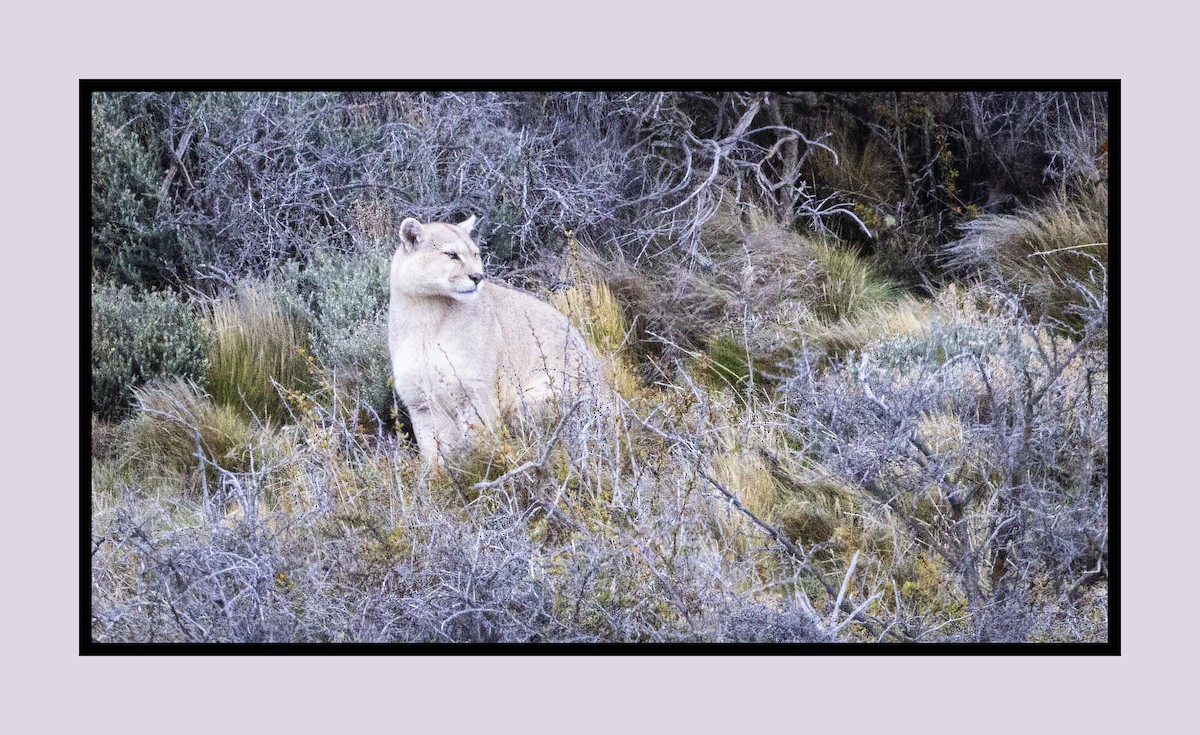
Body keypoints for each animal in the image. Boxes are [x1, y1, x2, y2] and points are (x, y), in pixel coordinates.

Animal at [388, 215, 612, 464]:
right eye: (452, 254)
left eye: (475, 254)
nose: (478, 277)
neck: (426, 316)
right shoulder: (421, 402)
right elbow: (432, 450)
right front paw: (437, 472)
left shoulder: (476, 391)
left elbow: (477, 441)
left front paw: (477, 464)